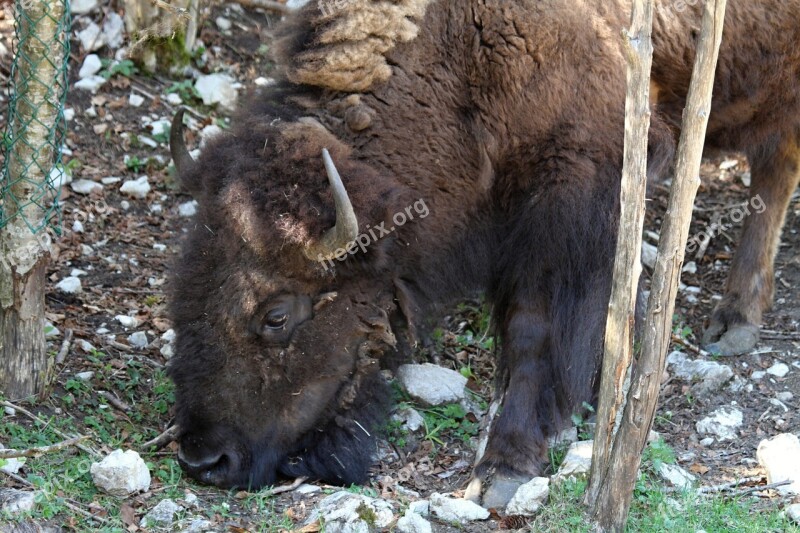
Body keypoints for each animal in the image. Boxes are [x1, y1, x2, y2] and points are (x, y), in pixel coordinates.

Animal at [169, 0, 800, 508]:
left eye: (277, 315)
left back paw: (736, 319)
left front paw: (504, 467)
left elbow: (533, 328)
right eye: (186, 285)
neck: (463, 62)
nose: (204, 460)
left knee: (774, 173)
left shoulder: (572, 198)